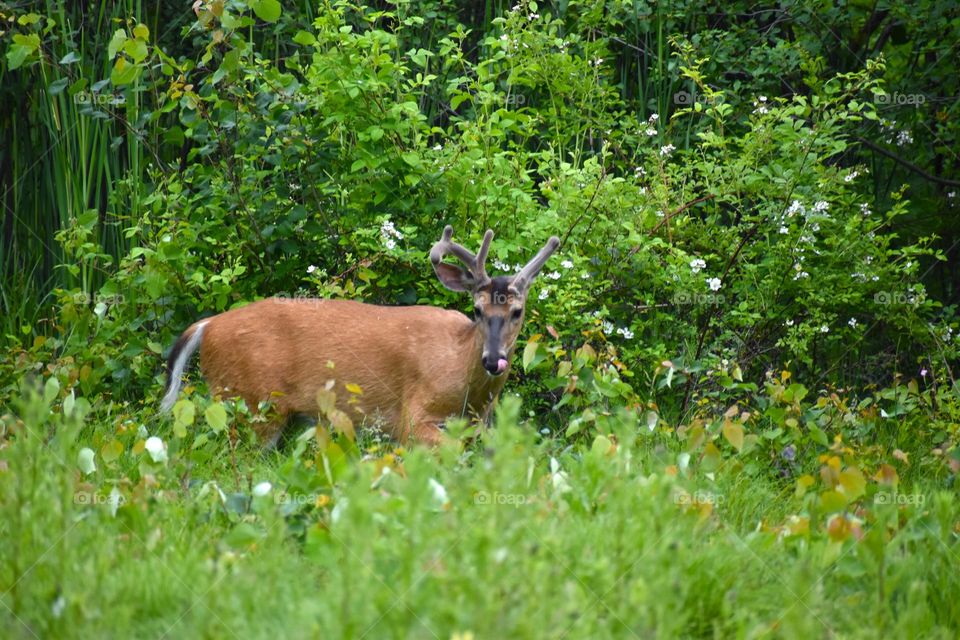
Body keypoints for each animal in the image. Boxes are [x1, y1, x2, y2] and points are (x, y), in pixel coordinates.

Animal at [160, 225, 560, 446]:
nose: (493, 361)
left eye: (517, 312)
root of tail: (207, 326)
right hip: (250, 403)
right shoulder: (411, 418)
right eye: (476, 310)